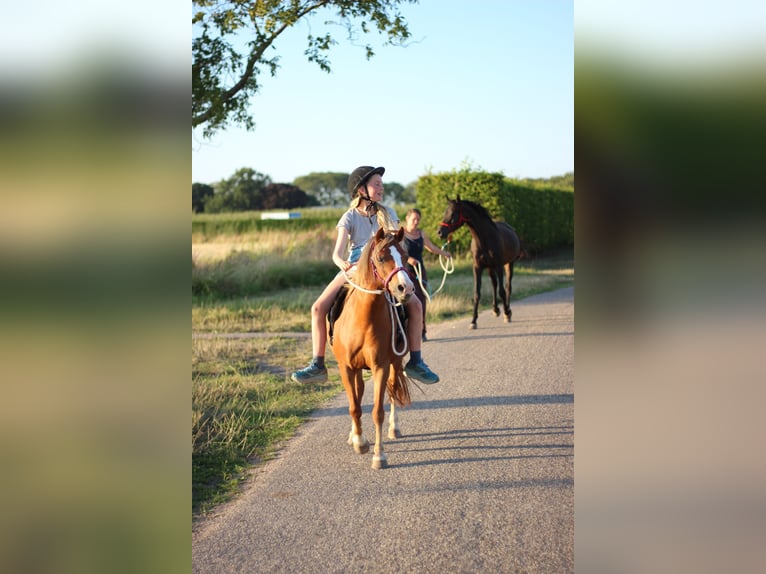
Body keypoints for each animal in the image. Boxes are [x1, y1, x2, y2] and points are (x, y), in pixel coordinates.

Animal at [328, 227, 414, 470]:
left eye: (405, 256)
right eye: (381, 258)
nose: (406, 288)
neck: (362, 321)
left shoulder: (380, 367)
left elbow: (377, 412)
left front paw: (379, 455)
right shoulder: (346, 368)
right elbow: (354, 406)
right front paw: (359, 442)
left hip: (395, 363)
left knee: (393, 391)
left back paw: (394, 428)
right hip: (357, 369)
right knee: (357, 395)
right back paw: (354, 435)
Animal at [438, 198, 520, 330]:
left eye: (453, 214)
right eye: (445, 212)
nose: (440, 232)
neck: (484, 239)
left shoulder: (498, 266)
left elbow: (502, 291)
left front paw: (507, 313)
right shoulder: (477, 267)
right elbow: (477, 293)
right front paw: (473, 321)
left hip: (508, 264)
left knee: (507, 287)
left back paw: (507, 310)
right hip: (490, 268)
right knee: (494, 284)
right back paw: (495, 310)